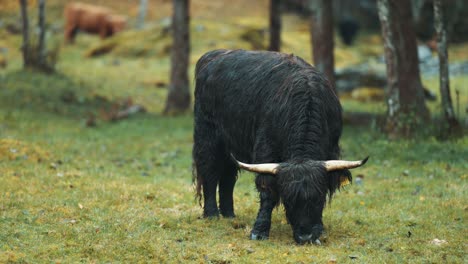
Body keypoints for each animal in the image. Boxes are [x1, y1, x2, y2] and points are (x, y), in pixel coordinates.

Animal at [192, 49, 368, 243]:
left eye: (318, 198)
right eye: (288, 200)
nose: (305, 236)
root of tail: (212, 55)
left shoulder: (332, 148)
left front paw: (320, 229)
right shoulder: (265, 150)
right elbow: (267, 191)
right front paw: (259, 230)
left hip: (231, 144)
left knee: (228, 176)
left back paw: (229, 214)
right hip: (207, 135)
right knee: (209, 171)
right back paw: (212, 214)